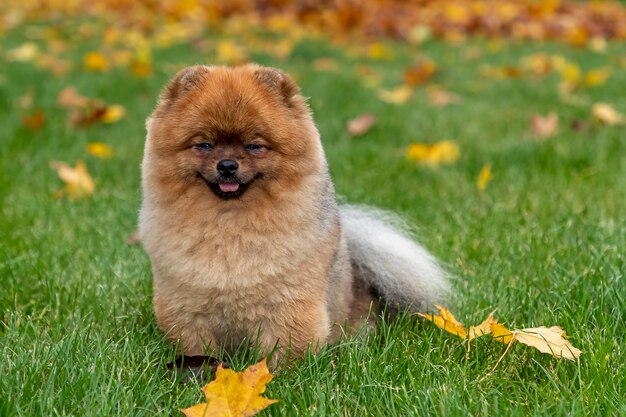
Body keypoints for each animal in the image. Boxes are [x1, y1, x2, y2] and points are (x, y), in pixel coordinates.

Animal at [139, 64, 446, 360]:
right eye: (204, 145)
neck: (230, 221)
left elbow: (283, 352)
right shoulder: (187, 310)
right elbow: (197, 348)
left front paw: (276, 373)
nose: (227, 165)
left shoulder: (288, 306)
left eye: (254, 146)